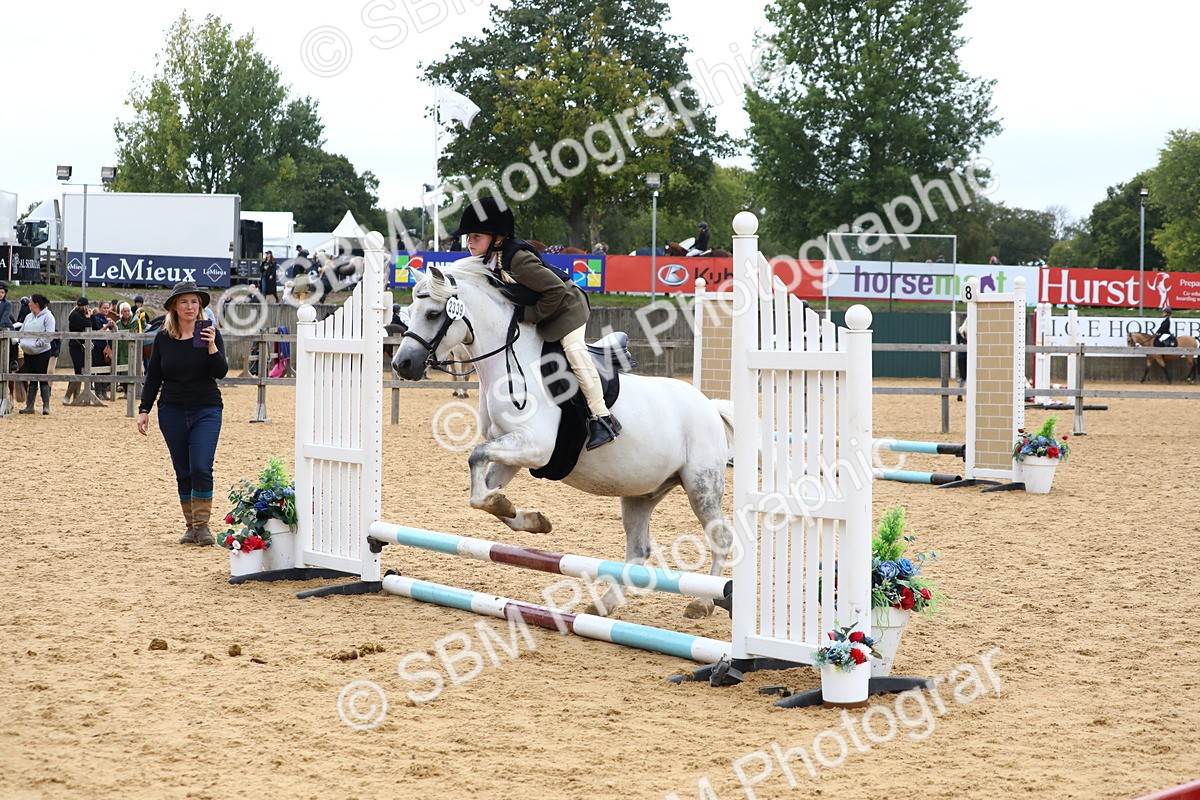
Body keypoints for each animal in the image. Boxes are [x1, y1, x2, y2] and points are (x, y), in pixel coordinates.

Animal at [392, 258, 735, 618]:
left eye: (433, 313)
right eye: (410, 311)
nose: (402, 364)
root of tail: (710, 406)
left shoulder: (537, 447)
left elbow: (476, 457)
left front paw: (512, 508)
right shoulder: (513, 450)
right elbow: (482, 490)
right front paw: (529, 518)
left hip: (701, 484)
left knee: (720, 538)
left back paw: (703, 602)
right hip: (641, 493)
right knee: (638, 550)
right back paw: (603, 605)